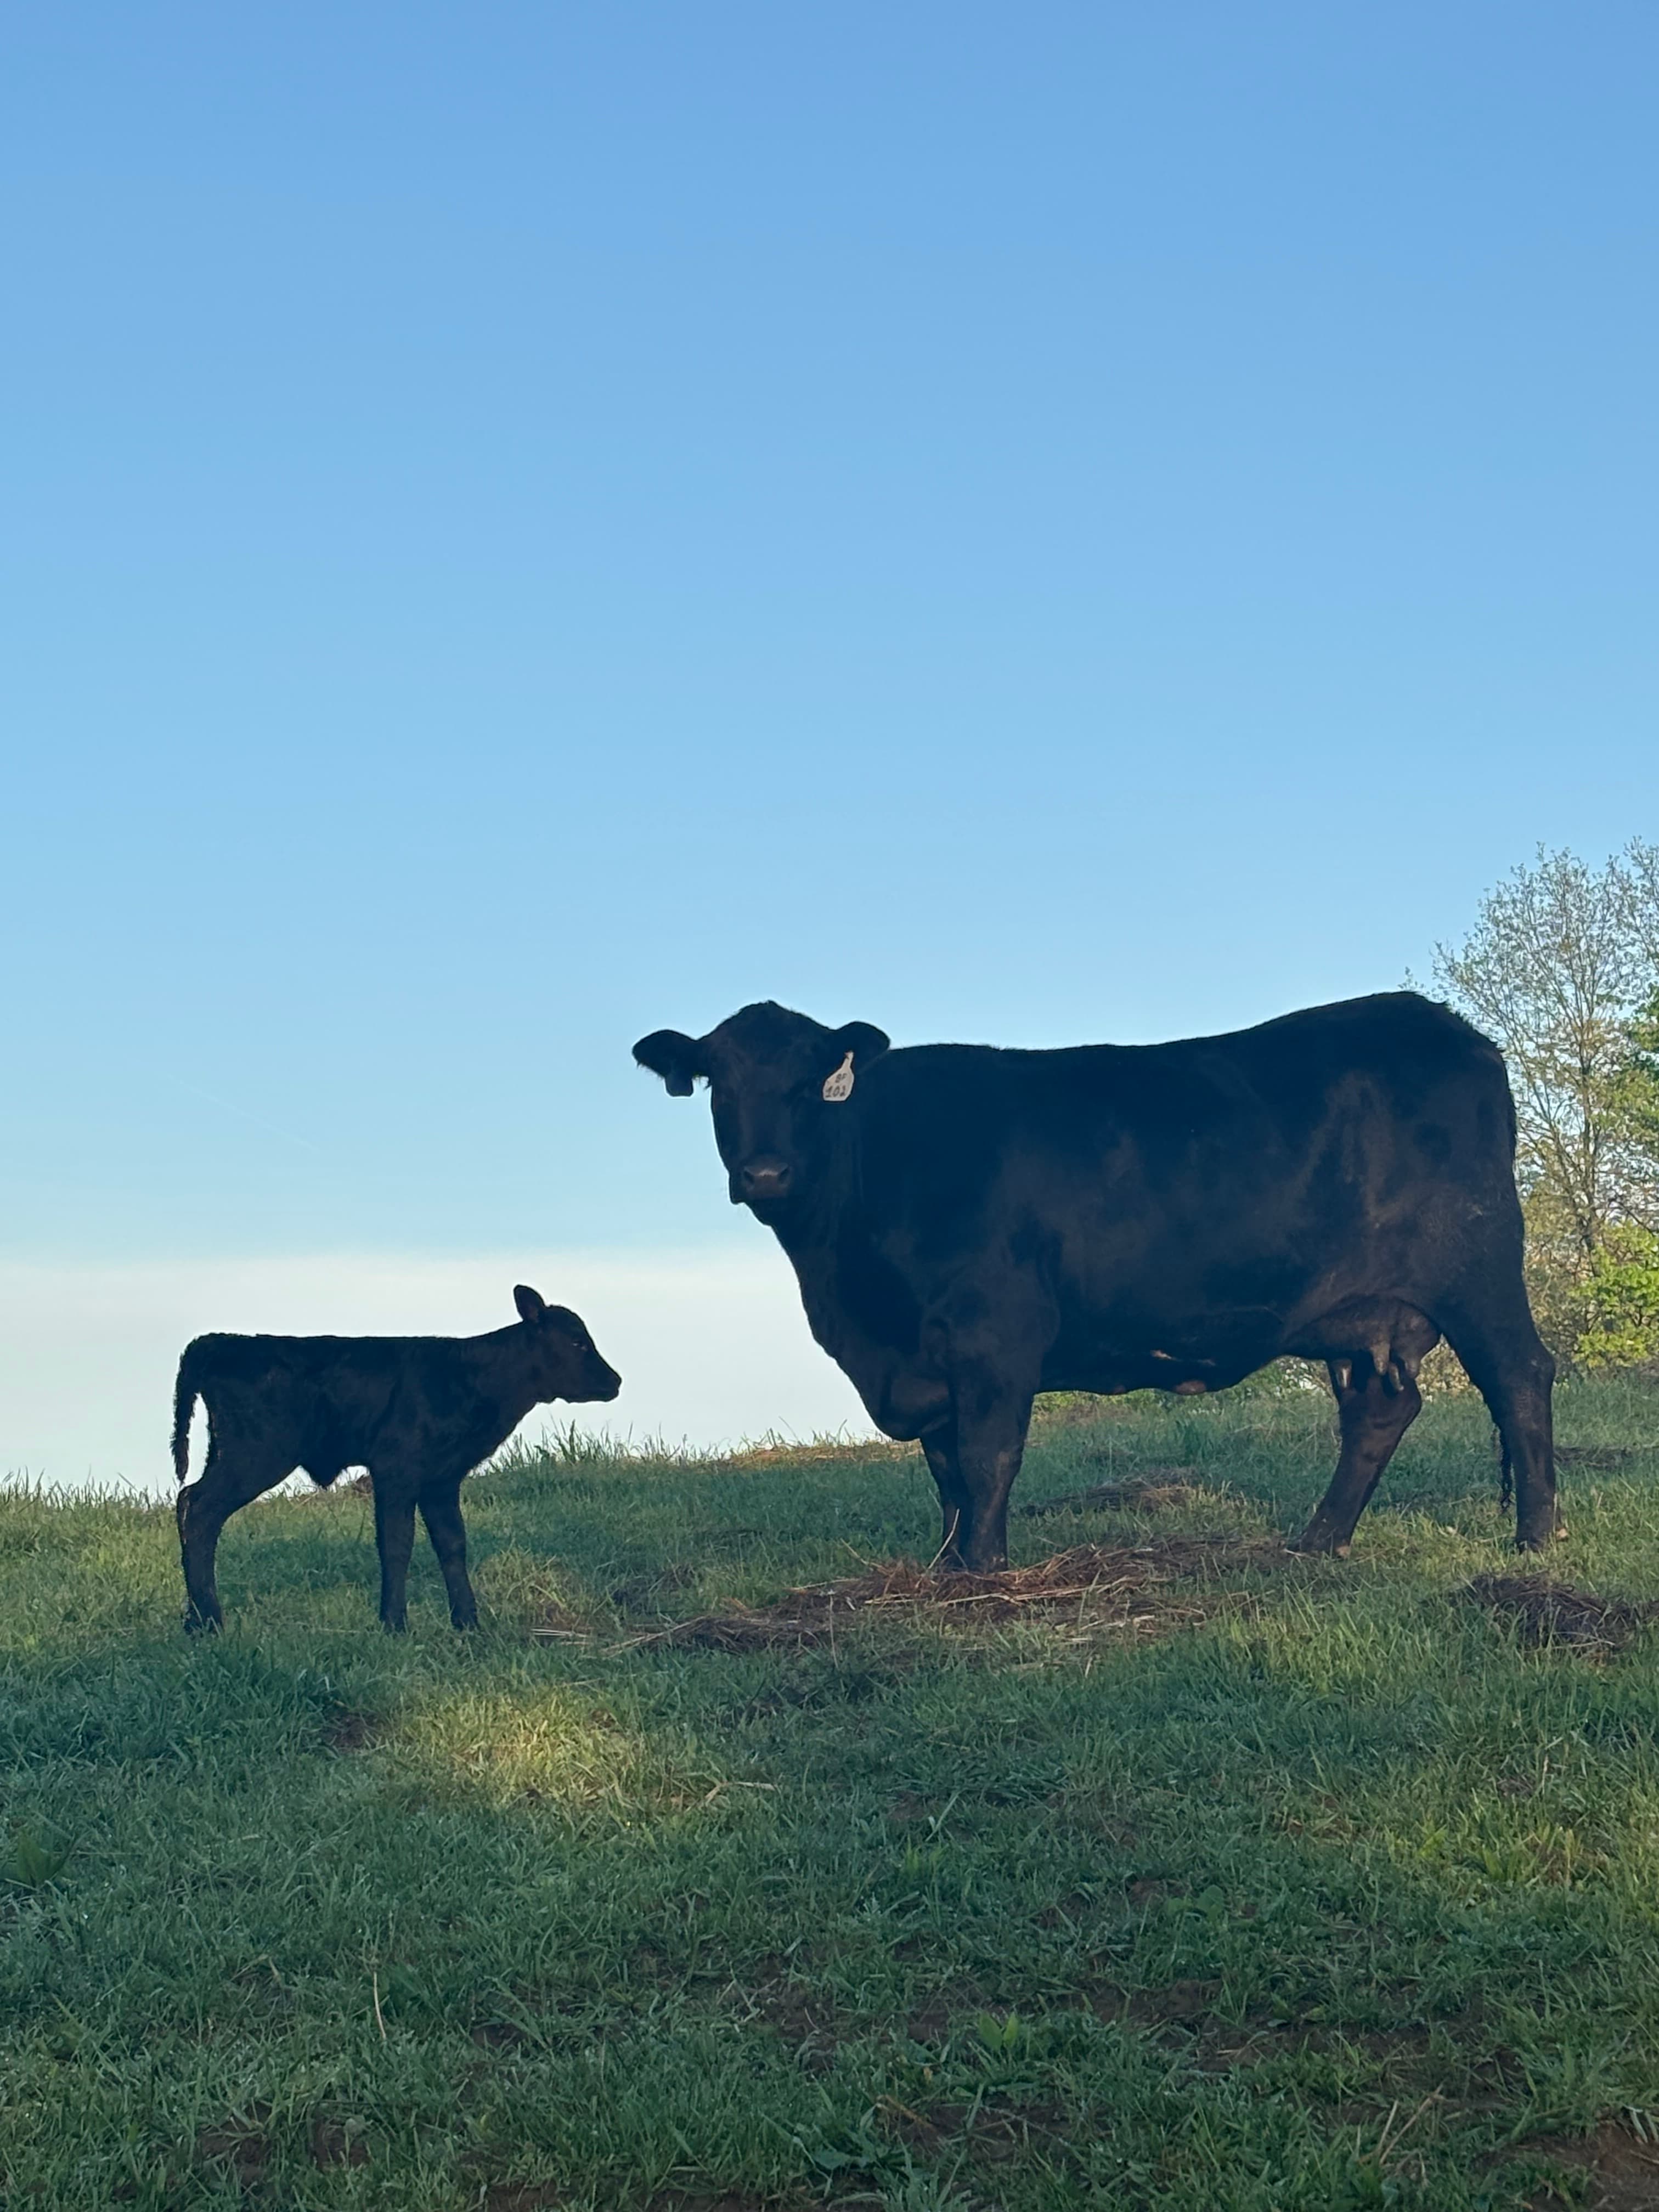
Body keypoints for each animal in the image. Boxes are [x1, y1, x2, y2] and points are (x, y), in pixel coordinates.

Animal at [172, 1285, 621, 1632]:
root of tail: (217, 1341)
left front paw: (468, 1623)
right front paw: (394, 1625)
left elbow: (452, 1543)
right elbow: (397, 1543)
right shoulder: (397, 1468)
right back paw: (210, 1622)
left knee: (188, 1500)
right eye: (577, 1342)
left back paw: (194, 1621)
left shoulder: (443, 1479)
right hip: (257, 1452)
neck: (474, 1378)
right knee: (201, 1508)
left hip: (231, 1451)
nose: (615, 1381)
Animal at [634, 994, 1557, 1571]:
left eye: (807, 1084)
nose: (765, 1172)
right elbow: (944, 1470)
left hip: (1477, 1265)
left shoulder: (995, 1336)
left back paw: (1537, 1539)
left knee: (1520, 1378)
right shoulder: (925, 1358)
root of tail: (1444, 1024)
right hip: (1360, 1313)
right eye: (720, 1084)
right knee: (1379, 1409)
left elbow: (987, 1459)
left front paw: (984, 1571)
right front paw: (943, 1569)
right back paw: (1317, 1542)